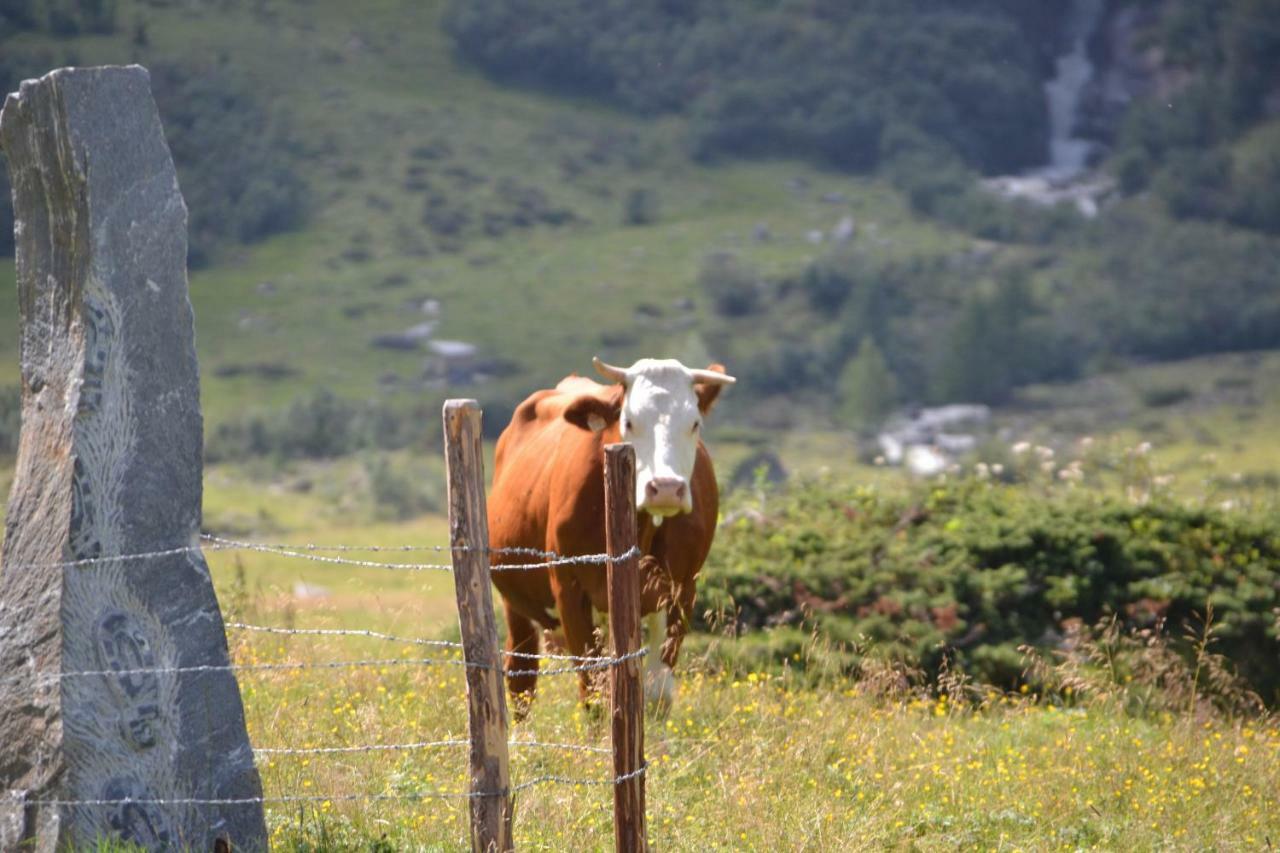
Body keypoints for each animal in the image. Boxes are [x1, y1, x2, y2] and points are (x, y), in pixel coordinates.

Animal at [486, 356, 737, 706]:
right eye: (628, 422)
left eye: (694, 423)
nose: (666, 488)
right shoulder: (570, 589)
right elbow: (594, 687)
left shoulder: (681, 588)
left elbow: (657, 691)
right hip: (517, 601)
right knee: (521, 677)